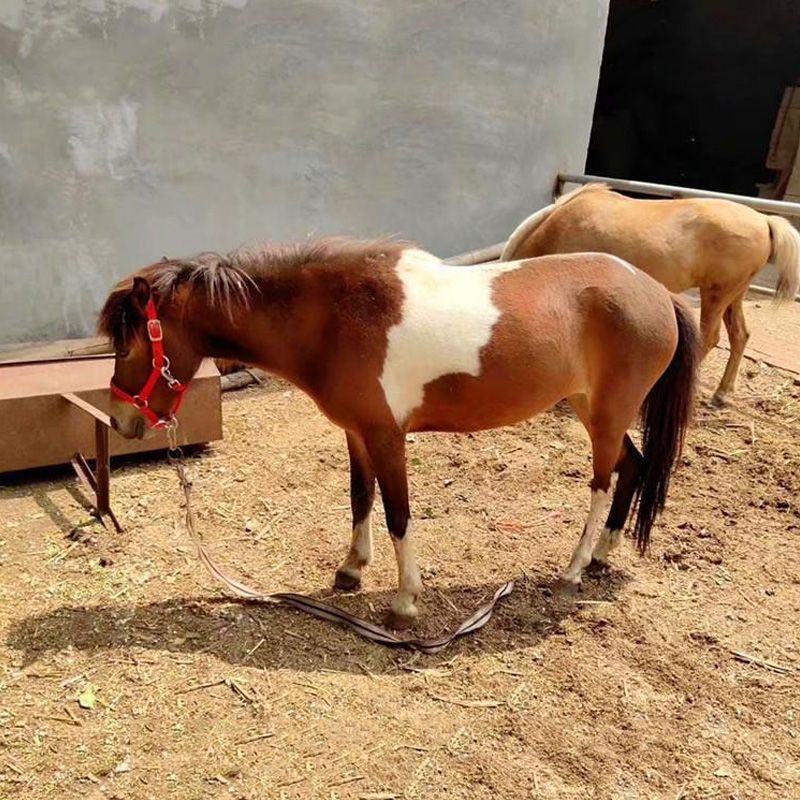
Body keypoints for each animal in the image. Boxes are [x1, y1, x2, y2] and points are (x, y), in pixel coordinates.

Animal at [99, 238, 699, 629]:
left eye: (127, 345)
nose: (121, 420)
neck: (336, 318)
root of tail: (658, 293)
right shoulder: (357, 433)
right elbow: (359, 498)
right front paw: (350, 570)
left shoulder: (388, 436)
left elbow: (397, 513)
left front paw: (405, 602)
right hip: (592, 408)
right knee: (632, 466)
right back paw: (603, 554)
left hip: (606, 414)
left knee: (602, 482)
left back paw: (572, 571)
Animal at [500, 184, 800, 405]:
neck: (557, 226)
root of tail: (764, 220)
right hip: (734, 295)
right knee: (739, 335)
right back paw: (722, 393)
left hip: (717, 295)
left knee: (709, 339)